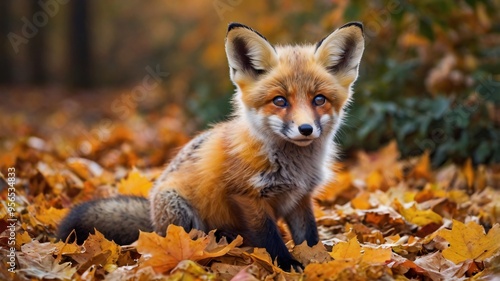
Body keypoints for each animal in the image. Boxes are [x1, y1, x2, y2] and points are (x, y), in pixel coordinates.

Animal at [57, 21, 364, 270]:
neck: (293, 167)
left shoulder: (300, 199)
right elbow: (270, 239)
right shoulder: (247, 197)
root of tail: (152, 222)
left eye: (319, 99)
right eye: (280, 101)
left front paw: (317, 262)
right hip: (181, 212)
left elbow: (309, 239)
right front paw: (288, 265)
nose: (305, 129)